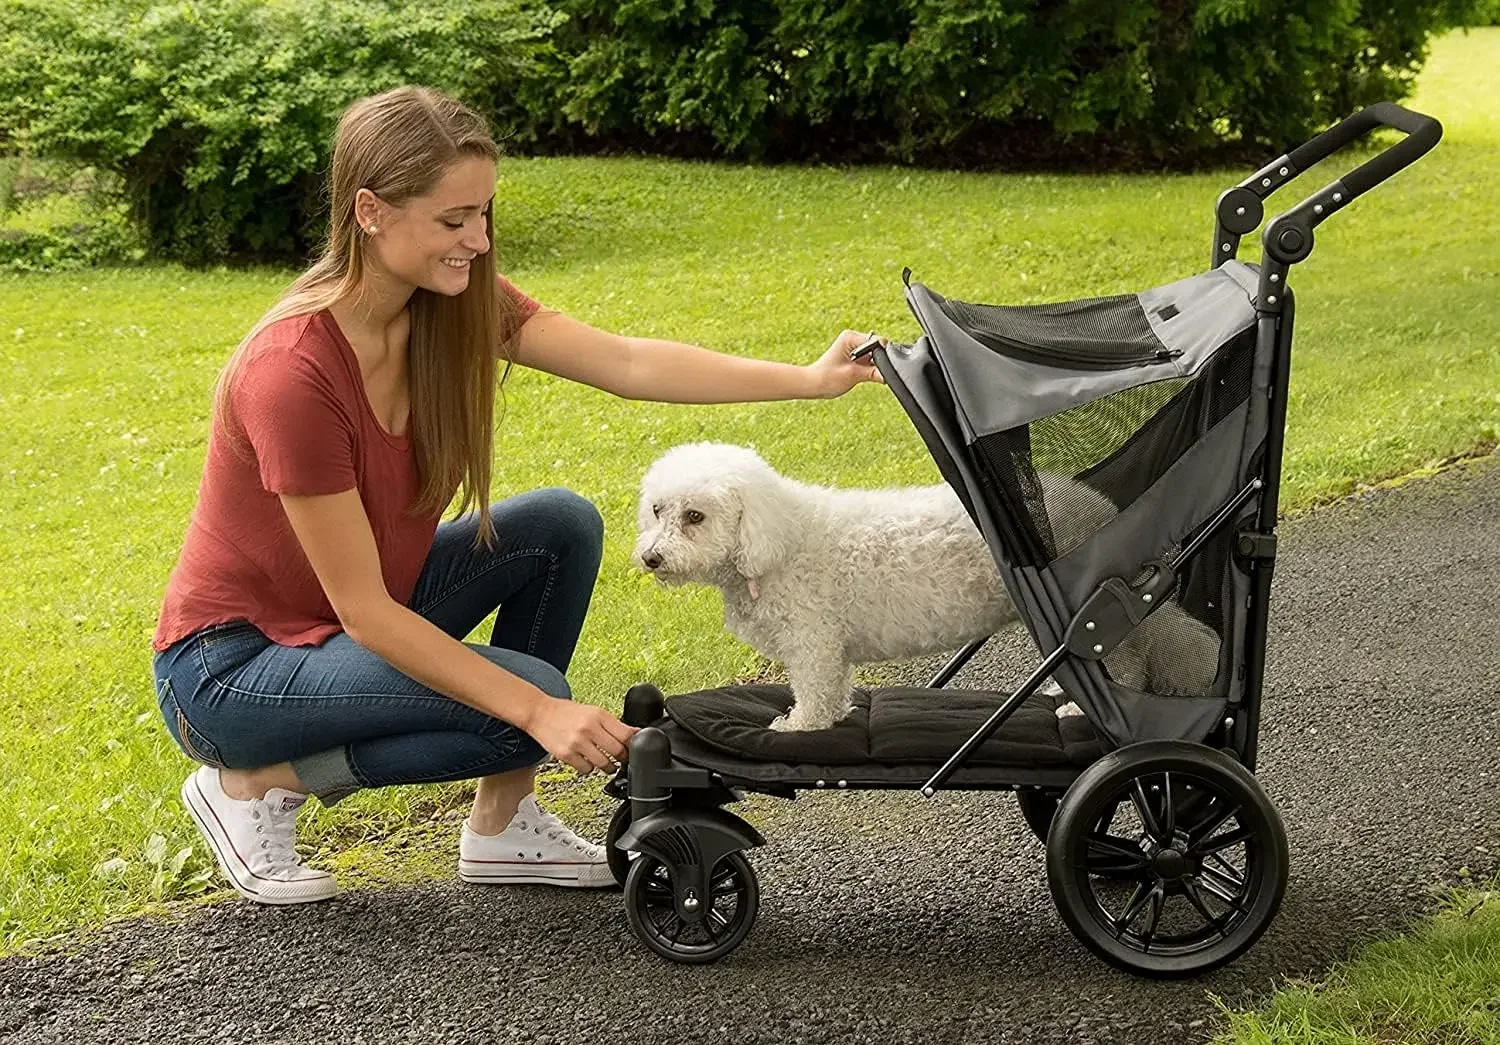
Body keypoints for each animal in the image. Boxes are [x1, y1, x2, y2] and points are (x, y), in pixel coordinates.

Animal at [633, 443, 1218, 728]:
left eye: (695, 516)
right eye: (657, 510)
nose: (650, 557)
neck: (777, 539)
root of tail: (1098, 507)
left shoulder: (812, 639)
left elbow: (815, 689)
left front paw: (800, 726)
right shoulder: (828, 647)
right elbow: (835, 687)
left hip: (1081, 611)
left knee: (1122, 661)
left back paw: (1084, 709)